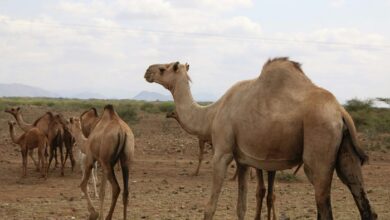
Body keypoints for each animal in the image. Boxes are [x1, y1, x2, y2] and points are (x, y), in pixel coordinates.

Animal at [145, 58, 376, 220]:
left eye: (164, 68)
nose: (147, 71)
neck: (211, 114)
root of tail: (340, 112)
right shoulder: (243, 161)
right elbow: (241, 207)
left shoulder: (222, 152)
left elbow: (210, 207)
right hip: (346, 153)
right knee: (364, 203)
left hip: (319, 145)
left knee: (324, 206)